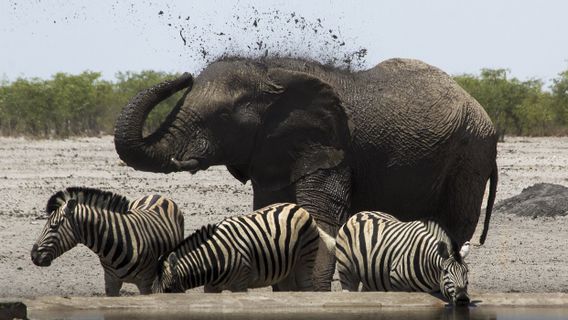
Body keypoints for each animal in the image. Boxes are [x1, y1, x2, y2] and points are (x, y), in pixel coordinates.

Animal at [152, 202, 320, 292]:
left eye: (168, 290)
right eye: (152, 291)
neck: (213, 257)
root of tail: (297, 206)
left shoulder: (240, 284)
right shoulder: (211, 287)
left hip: (305, 259)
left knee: (307, 287)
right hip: (286, 270)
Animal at [336, 211, 472, 304]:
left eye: (466, 271)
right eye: (445, 271)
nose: (463, 299)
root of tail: (358, 214)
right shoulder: (397, 284)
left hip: (371, 276)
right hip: (346, 271)